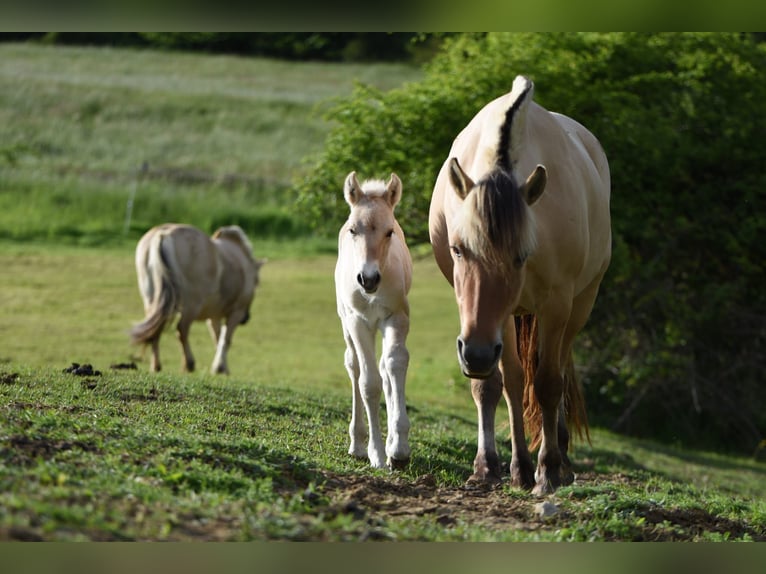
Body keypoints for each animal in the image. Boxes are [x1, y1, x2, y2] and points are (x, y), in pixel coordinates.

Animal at [131, 223, 265, 375]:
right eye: (257, 282)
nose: (246, 318)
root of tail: (163, 234)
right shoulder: (236, 312)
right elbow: (225, 339)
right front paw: (221, 368)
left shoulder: (214, 316)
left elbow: (217, 338)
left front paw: (220, 367)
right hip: (191, 305)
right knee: (182, 330)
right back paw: (188, 364)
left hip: (152, 301)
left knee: (155, 329)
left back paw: (156, 366)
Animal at [335, 171, 413, 470]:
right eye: (353, 230)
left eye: (389, 231)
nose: (368, 279)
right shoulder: (359, 322)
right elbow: (369, 383)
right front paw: (377, 454)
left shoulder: (397, 316)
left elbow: (394, 364)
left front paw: (398, 449)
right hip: (346, 322)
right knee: (354, 366)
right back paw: (357, 444)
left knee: (384, 365)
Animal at [428, 75, 611, 495]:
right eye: (457, 249)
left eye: (521, 256)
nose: (476, 354)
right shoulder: (485, 318)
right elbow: (499, 383)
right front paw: (493, 467)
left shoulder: (555, 305)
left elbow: (547, 383)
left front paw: (547, 470)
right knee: (514, 379)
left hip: (580, 303)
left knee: (559, 368)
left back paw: (560, 458)